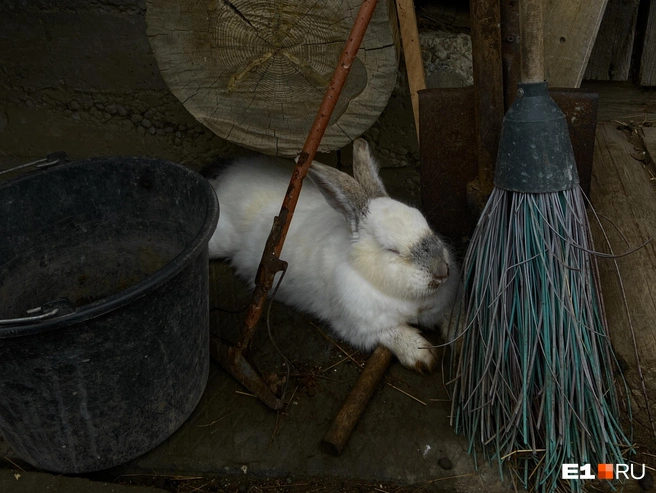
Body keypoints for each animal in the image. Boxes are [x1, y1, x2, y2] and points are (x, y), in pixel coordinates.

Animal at [207, 139, 459, 372]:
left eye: (426, 225)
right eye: (392, 250)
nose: (442, 272)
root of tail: (227, 177)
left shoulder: (443, 305)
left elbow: (451, 317)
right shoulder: (364, 327)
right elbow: (396, 334)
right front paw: (424, 358)